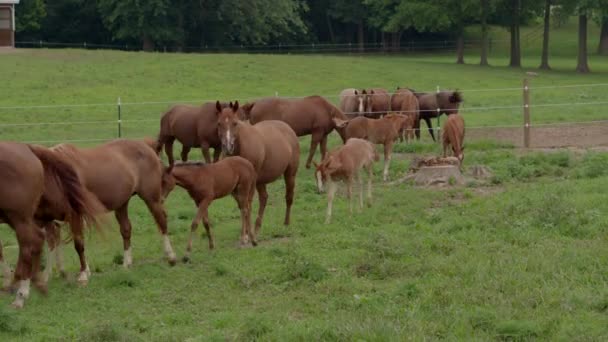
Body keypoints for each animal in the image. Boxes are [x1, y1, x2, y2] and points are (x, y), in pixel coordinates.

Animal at [44, 139, 178, 280]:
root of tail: (146, 146)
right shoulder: (51, 220)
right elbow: (52, 244)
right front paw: (52, 275)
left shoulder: (74, 215)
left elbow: (78, 243)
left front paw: (84, 273)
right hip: (122, 204)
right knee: (126, 229)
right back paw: (126, 264)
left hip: (152, 199)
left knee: (161, 221)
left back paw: (171, 257)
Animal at [216, 100, 300, 236]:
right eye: (219, 123)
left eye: (235, 123)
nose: (228, 147)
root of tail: (288, 128)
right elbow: (242, 204)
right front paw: (246, 231)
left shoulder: (251, 181)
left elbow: (248, 203)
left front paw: (247, 233)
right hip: (261, 180)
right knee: (264, 198)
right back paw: (257, 227)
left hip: (290, 173)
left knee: (289, 196)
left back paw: (286, 223)